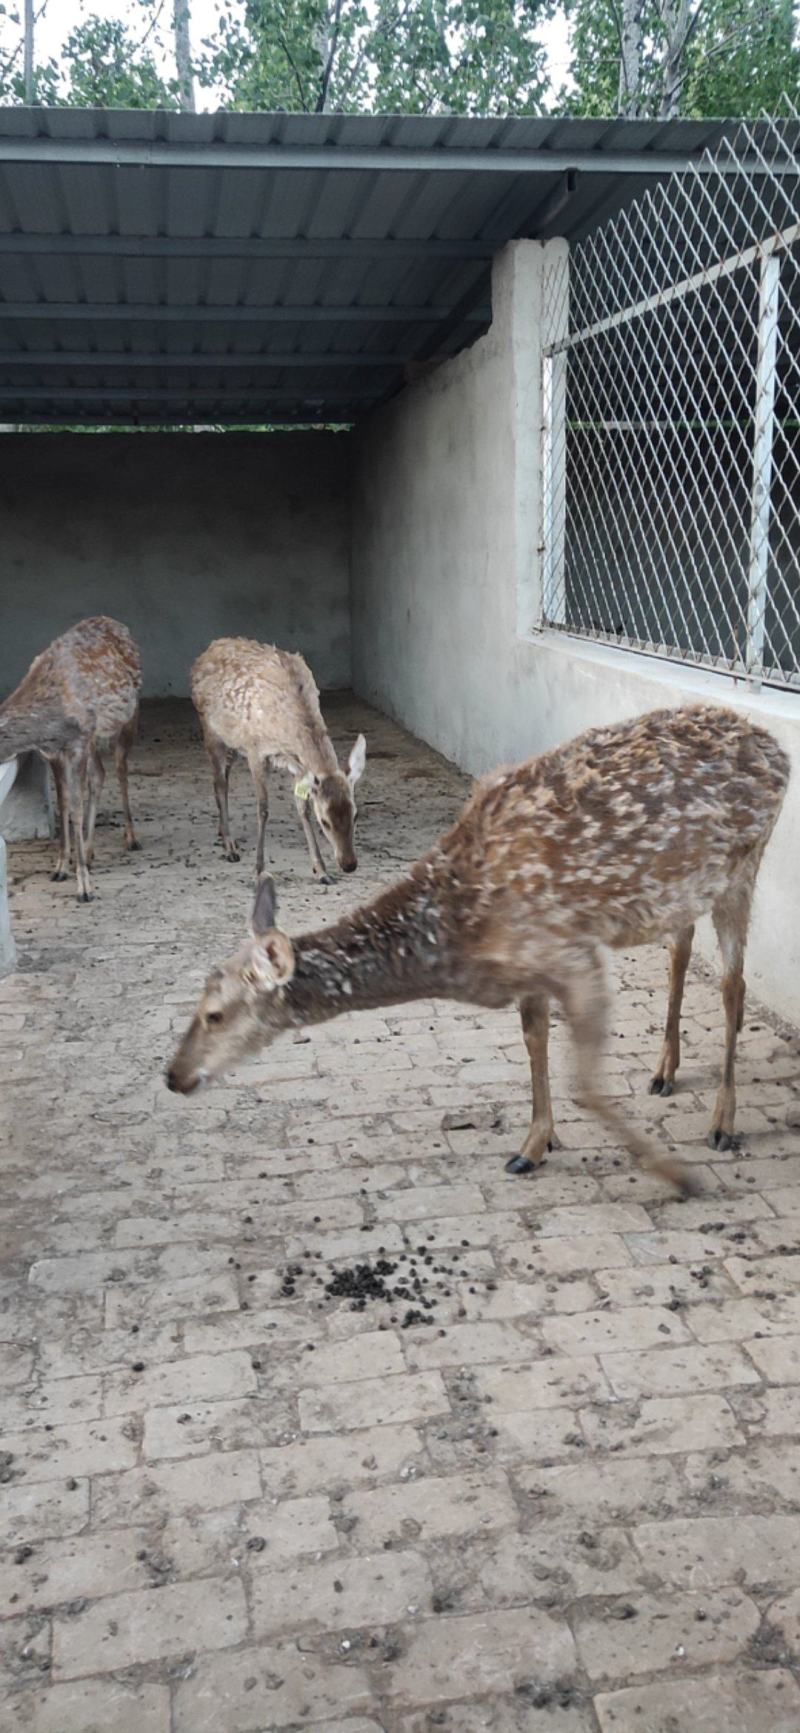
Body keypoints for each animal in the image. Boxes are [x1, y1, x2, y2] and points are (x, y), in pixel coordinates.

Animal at [0, 616, 142, 903]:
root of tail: (119, 624)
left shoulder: (76, 743)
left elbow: (75, 807)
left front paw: (84, 887)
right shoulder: (53, 752)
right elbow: (64, 802)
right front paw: (61, 866)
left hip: (125, 720)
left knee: (121, 769)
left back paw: (130, 838)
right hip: (93, 740)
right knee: (99, 775)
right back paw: (88, 851)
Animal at [166, 704, 789, 1194]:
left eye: (215, 1014)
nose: (173, 1076)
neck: (458, 934)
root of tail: (776, 746)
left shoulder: (571, 953)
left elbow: (586, 1084)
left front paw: (678, 1177)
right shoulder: (533, 967)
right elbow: (534, 1040)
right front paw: (535, 1144)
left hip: (746, 864)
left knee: (733, 986)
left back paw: (723, 1121)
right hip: (686, 889)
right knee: (680, 950)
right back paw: (664, 1071)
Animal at [191, 638, 366, 882]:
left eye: (355, 814)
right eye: (325, 821)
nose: (349, 864)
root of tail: (207, 651)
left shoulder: (298, 765)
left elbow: (303, 808)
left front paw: (321, 869)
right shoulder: (255, 750)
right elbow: (263, 809)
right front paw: (258, 869)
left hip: (232, 741)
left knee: (222, 777)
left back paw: (222, 832)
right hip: (211, 731)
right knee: (219, 782)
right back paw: (229, 847)